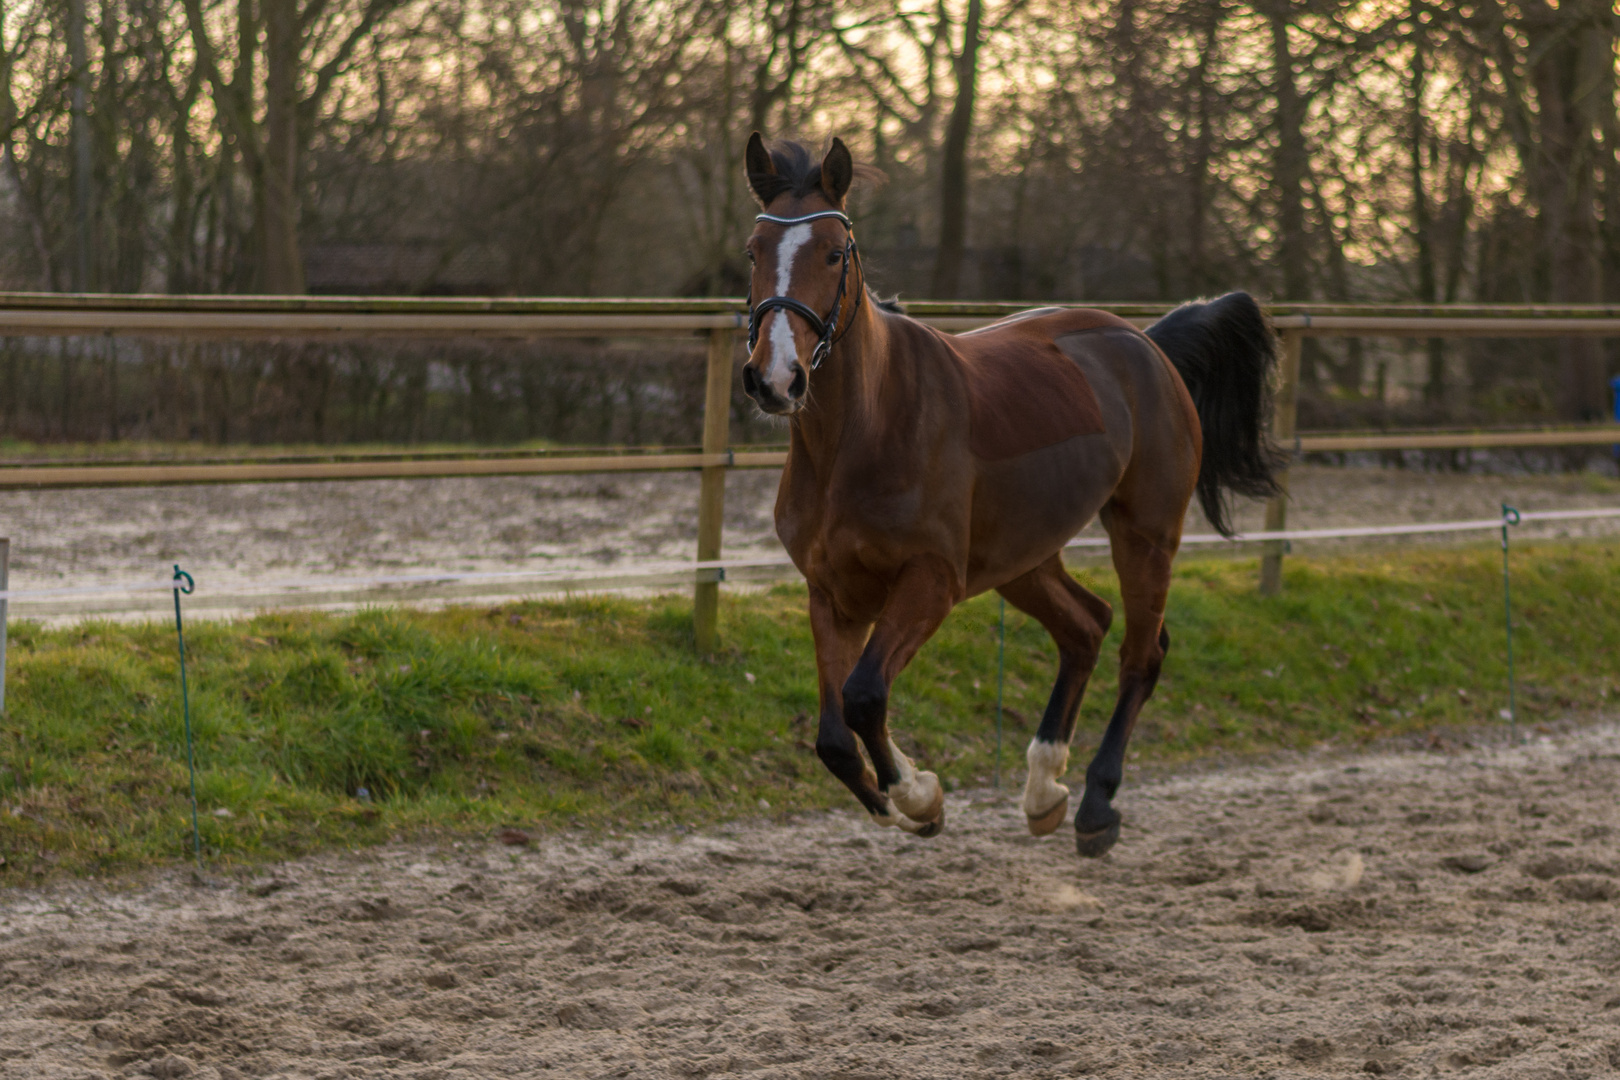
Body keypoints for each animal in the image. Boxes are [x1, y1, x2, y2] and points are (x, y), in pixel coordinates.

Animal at [741, 137, 1283, 861]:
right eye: (753, 251)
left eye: (832, 251)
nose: (775, 379)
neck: (860, 436)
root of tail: (1148, 344)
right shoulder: (832, 592)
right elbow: (833, 737)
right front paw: (903, 804)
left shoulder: (932, 580)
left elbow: (864, 697)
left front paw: (921, 796)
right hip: (1022, 559)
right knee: (1086, 627)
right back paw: (1043, 790)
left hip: (1145, 534)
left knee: (1141, 654)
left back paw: (1095, 805)